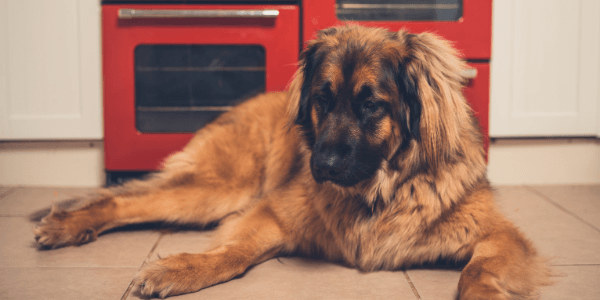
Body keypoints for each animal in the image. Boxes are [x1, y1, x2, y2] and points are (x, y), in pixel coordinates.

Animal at [30, 26, 552, 300]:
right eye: (322, 99)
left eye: (371, 105)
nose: (321, 164)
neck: (376, 193)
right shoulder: (271, 211)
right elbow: (231, 253)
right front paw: (181, 268)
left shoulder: (499, 236)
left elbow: (476, 272)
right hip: (222, 190)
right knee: (124, 201)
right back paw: (67, 225)